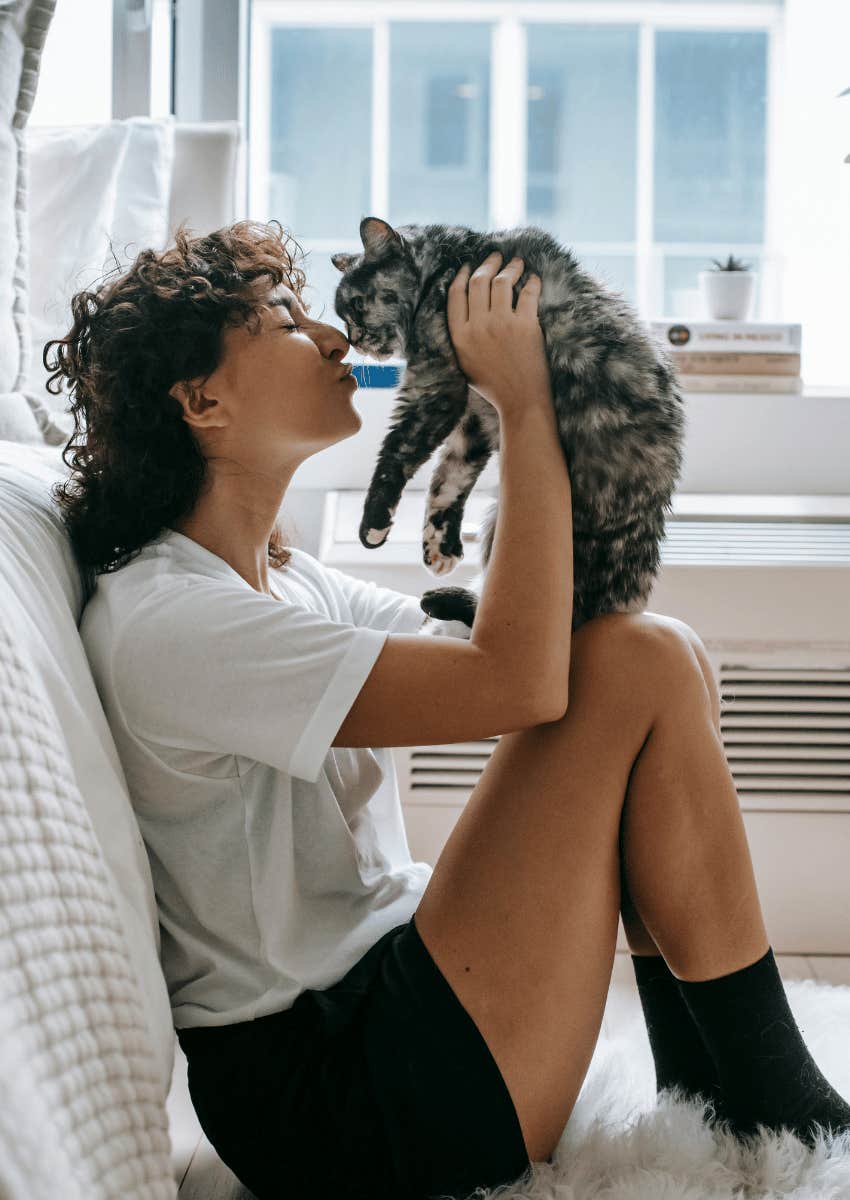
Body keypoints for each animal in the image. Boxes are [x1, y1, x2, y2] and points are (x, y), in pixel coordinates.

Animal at [331, 216, 681, 638]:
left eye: (356, 304)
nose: (353, 340)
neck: (447, 262)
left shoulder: (436, 387)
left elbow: (398, 453)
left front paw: (374, 524)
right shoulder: (475, 418)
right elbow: (449, 480)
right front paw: (439, 546)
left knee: (564, 614)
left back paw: (442, 601)